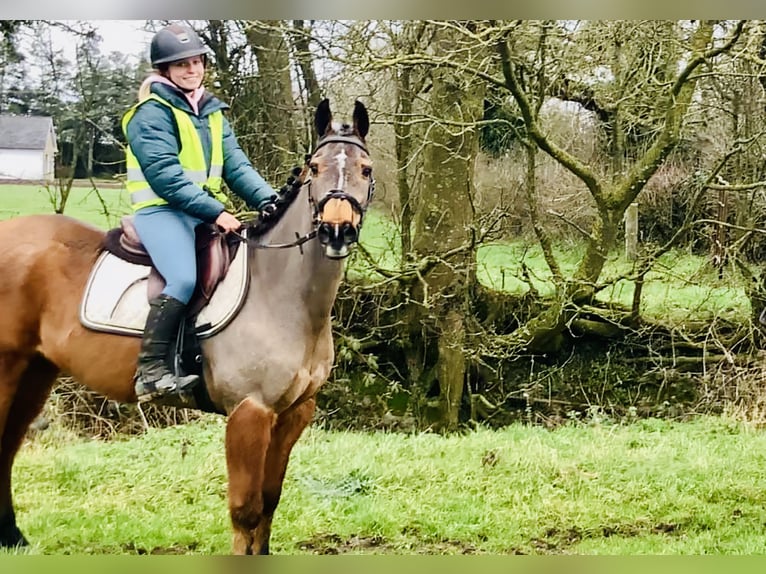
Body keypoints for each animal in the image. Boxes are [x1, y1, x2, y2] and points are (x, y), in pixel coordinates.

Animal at [0, 98, 374, 555]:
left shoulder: (294, 413)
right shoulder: (248, 412)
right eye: (315, 168)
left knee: (8, 443)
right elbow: (245, 510)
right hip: (8, 367)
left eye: (366, 169)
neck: (281, 294)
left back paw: (12, 536)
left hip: (36, 371)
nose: (337, 230)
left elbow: (269, 501)